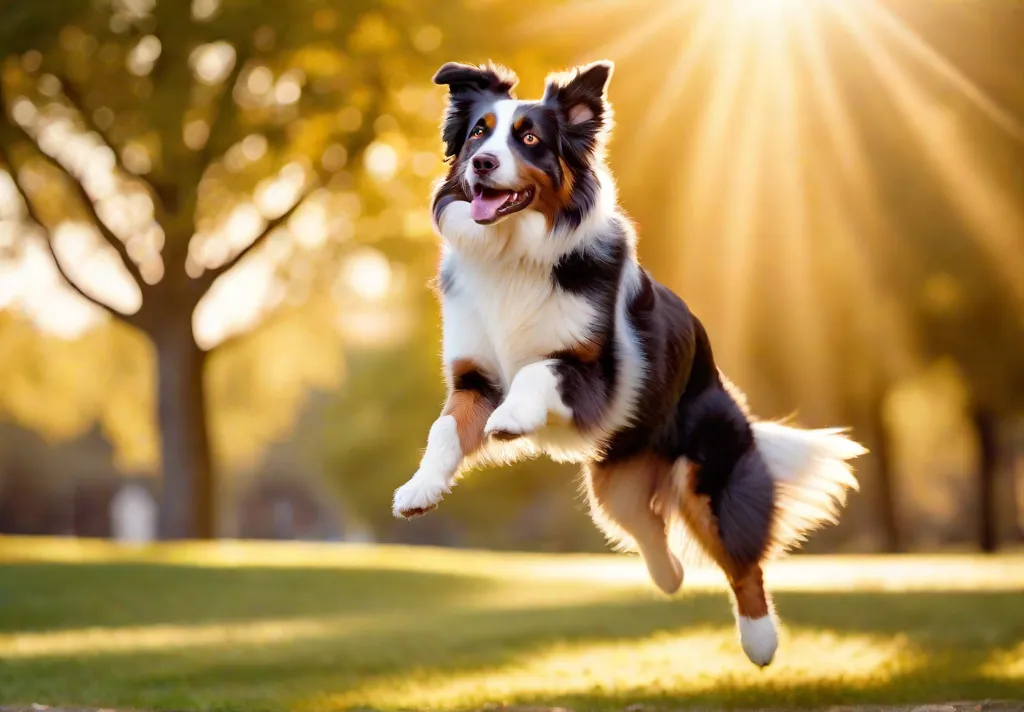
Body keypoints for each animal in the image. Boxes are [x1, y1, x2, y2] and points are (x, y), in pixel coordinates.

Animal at [391, 61, 864, 667]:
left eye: (529, 139)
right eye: (478, 133)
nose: (482, 164)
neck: (514, 254)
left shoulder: (597, 372)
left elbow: (538, 369)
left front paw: (512, 420)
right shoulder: (474, 379)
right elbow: (445, 429)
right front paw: (419, 490)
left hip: (706, 471)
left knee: (740, 558)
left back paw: (760, 642)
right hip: (614, 490)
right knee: (653, 532)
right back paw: (670, 576)